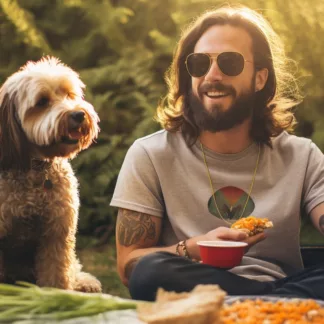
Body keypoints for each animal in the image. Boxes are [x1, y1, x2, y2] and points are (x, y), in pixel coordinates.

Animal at [0, 57, 102, 292]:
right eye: (42, 102)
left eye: (69, 94)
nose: (78, 114)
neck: (37, 168)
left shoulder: (56, 234)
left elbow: (56, 275)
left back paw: (85, 283)